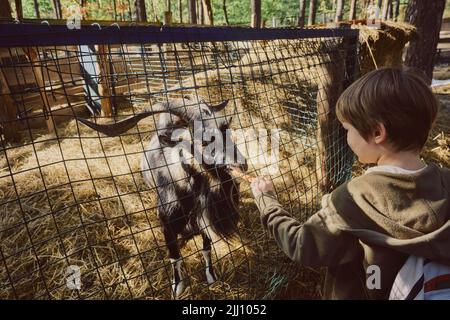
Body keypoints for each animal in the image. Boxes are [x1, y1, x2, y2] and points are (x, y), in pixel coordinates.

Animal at [77, 95, 246, 298]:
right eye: (203, 142)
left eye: (225, 131)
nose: (241, 165)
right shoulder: (168, 225)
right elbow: (174, 257)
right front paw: (177, 288)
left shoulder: (203, 221)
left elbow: (206, 248)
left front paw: (211, 276)